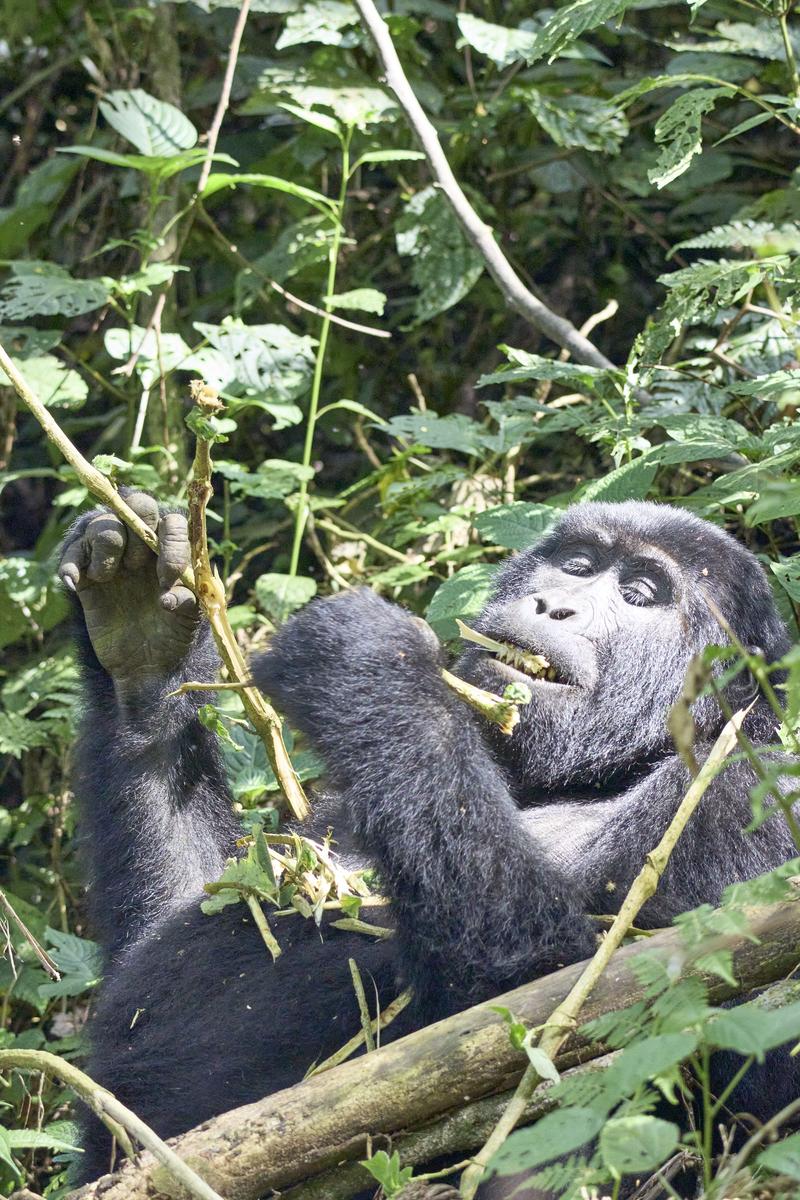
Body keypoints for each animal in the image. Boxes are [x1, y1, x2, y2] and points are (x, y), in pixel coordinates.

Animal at [57, 492, 800, 1185]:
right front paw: (146, 640)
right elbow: (187, 912)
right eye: (578, 565)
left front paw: (372, 665)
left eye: (639, 595)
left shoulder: (755, 796)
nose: (554, 605)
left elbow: (553, 1016)